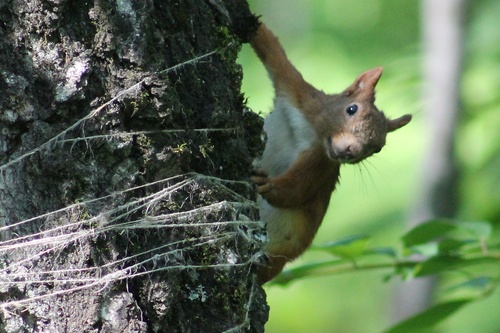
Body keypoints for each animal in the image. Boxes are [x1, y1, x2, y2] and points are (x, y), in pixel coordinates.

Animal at [249, 23, 410, 282]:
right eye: (351, 109)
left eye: (378, 148)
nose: (352, 151)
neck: (311, 132)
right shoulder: (298, 92)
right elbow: (271, 51)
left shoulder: (321, 165)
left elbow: (297, 189)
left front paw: (268, 185)